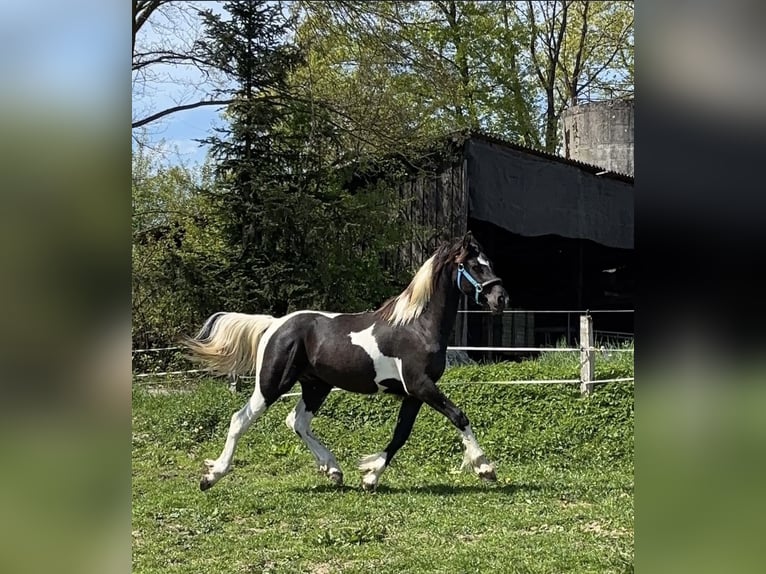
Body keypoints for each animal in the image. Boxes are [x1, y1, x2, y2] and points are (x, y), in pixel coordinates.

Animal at [184, 232, 509, 491]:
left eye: (490, 262)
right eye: (475, 265)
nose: (501, 299)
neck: (417, 326)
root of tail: (275, 324)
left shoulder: (413, 394)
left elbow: (401, 434)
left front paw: (370, 476)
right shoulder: (421, 385)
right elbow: (458, 416)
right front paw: (485, 467)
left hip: (316, 386)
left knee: (297, 421)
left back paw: (333, 470)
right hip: (272, 383)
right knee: (240, 419)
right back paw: (211, 476)